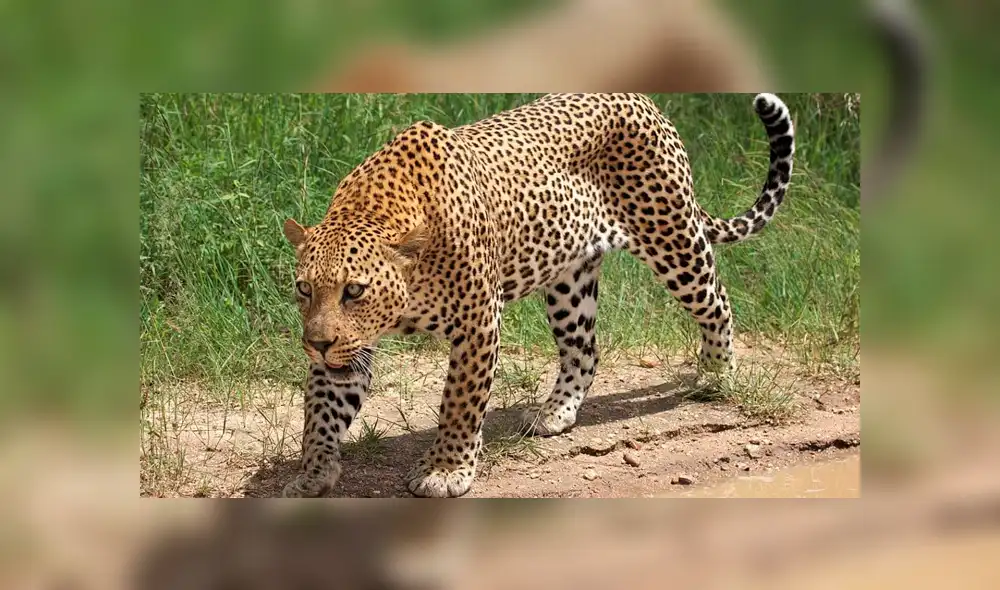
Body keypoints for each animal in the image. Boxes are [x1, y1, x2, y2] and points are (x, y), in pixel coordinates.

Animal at [280, 93, 794, 498]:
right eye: (305, 289)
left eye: (354, 290)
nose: (316, 344)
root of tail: (644, 101)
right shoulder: (349, 347)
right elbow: (321, 409)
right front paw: (313, 471)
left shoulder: (478, 320)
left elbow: (460, 401)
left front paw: (447, 470)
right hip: (569, 282)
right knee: (584, 350)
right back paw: (554, 413)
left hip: (673, 239)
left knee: (717, 300)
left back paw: (716, 374)